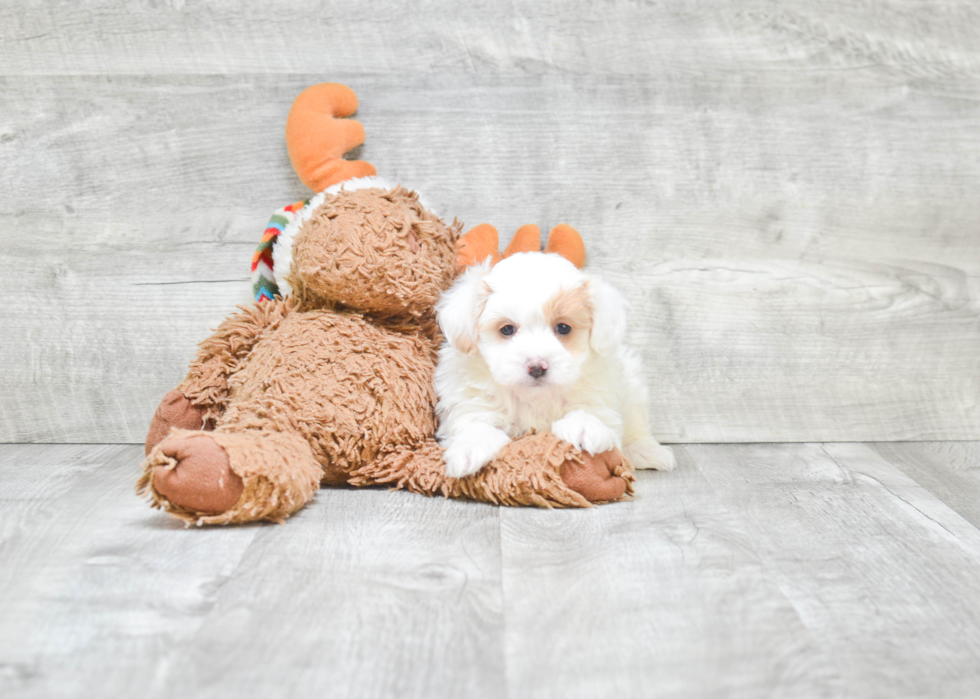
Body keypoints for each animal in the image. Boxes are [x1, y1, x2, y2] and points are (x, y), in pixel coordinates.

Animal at [436, 253, 672, 482]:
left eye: (563, 328)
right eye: (507, 329)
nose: (536, 367)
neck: (535, 398)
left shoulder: (602, 401)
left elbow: (593, 414)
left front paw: (584, 425)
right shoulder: (472, 402)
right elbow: (475, 423)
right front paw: (469, 448)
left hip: (633, 384)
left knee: (637, 423)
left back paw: (647, 450)